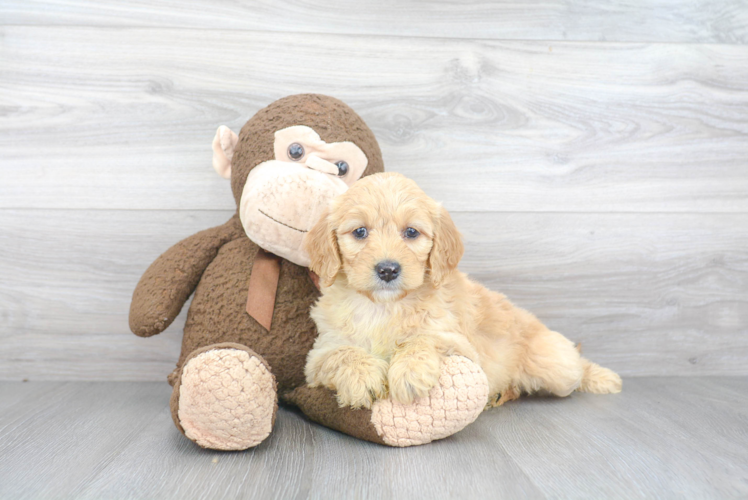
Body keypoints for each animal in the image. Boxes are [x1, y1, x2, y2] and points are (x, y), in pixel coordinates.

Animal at [300, 174, 624, 408]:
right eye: (360, 232)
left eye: (411, 232)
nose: (388, 270)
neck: (383, 306)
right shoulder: (318, 355)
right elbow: (342, 353)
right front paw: (362, 378)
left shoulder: (460, 344)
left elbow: (421, 339)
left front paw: (409, 372)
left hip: (556, 366)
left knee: (573, 369)